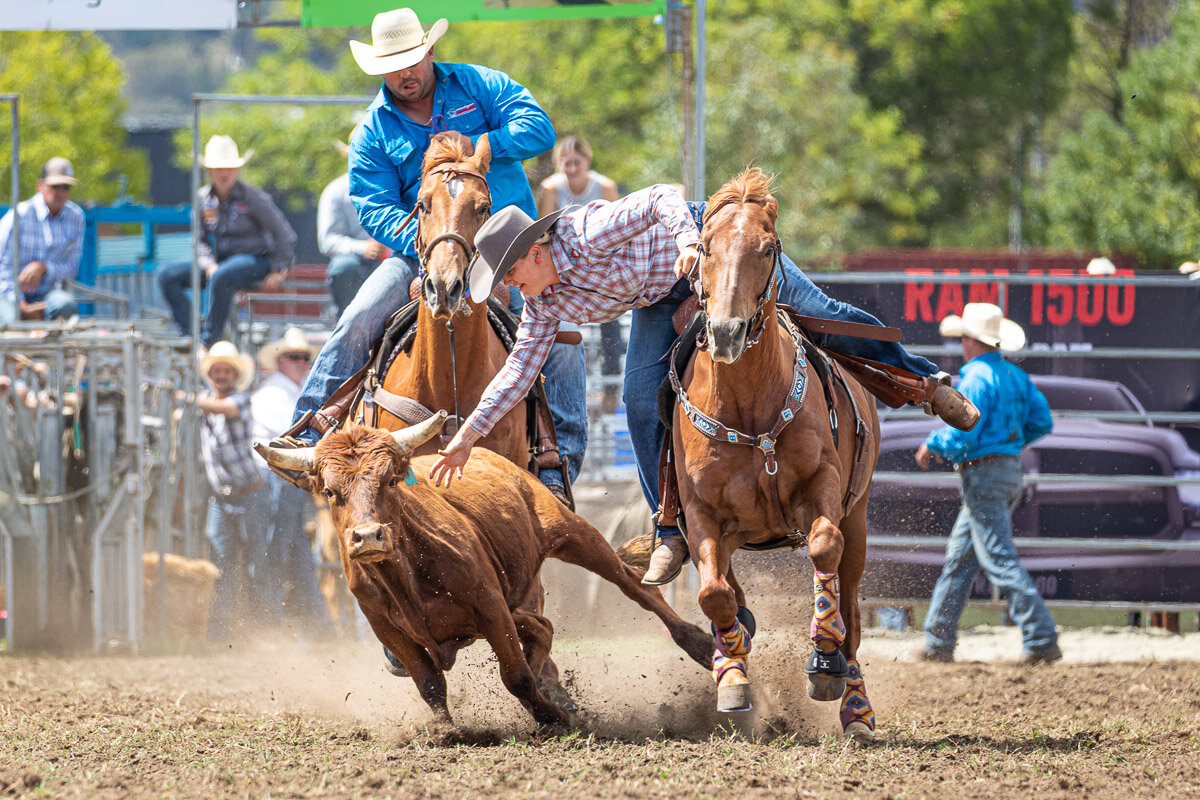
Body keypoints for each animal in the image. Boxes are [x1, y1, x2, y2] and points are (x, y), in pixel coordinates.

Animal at [676, 167, 883, 738]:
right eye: (705, 245)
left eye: (768, 249)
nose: (726, 332)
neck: (749, 409)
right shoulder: (700, 514)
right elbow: (713, 594)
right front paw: (732, 677)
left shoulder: (823, 488)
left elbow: (823, 547)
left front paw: (824, 660)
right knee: (729, 594)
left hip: (859, 516)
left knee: (852, 609)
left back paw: (855, 705)